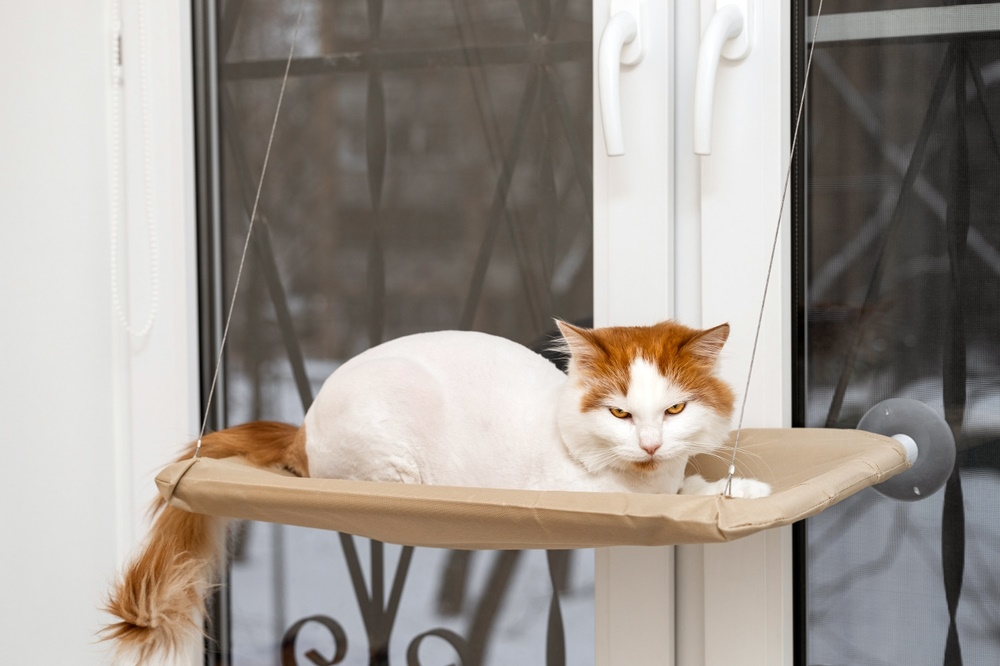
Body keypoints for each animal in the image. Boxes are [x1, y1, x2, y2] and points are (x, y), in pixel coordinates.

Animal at [105, 320, 768, 660]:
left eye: (675, 409)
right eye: (620, 414)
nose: (651, 445)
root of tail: (302, 427)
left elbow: (697, 479)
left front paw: (739, 487)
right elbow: (675, 495)